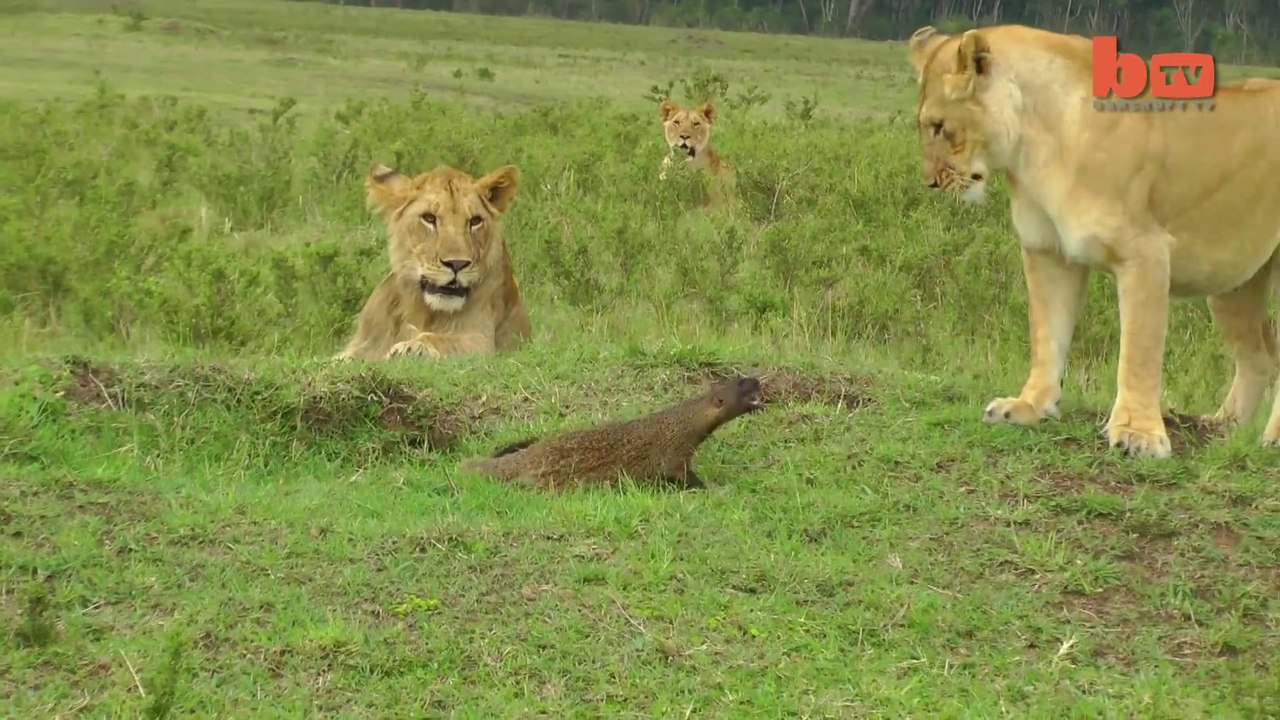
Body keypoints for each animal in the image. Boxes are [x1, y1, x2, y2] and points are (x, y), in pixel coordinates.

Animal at [334, 162, 532, 362]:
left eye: (475, 221)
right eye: (429, 218)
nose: (457, 264)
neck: (421, 310)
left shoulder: (483, 341)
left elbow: (442, 340)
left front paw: (411, 346)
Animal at [907, 24, 1280, 459]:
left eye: (938, 125)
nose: (931, 183)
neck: (1033, 151)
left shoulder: (1146, 251)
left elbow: (1139, 349)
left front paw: (1138, 433)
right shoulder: (1047, 251)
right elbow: (1047, 333)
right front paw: (1029, 406)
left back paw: (1270, 438)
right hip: (1231, 283)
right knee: (1259, 356)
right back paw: (1222, 428)